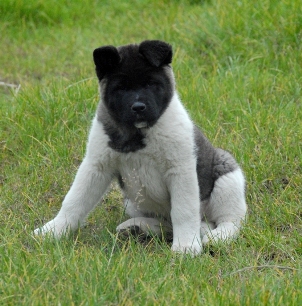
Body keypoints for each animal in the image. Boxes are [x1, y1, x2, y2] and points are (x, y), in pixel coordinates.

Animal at [34, 39, 248, 253]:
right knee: (168, 224)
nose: (138, 107)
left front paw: (185, 246)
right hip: (131, 202)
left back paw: (217, 236)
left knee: (230, 220)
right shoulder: (96, 167)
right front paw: (53, 230)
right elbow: (74, 201)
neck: (139, 134)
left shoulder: (180, 170)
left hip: (227, 177)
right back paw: (137, 227)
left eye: (151, 84)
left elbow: (184, 211)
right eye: (121, 88)